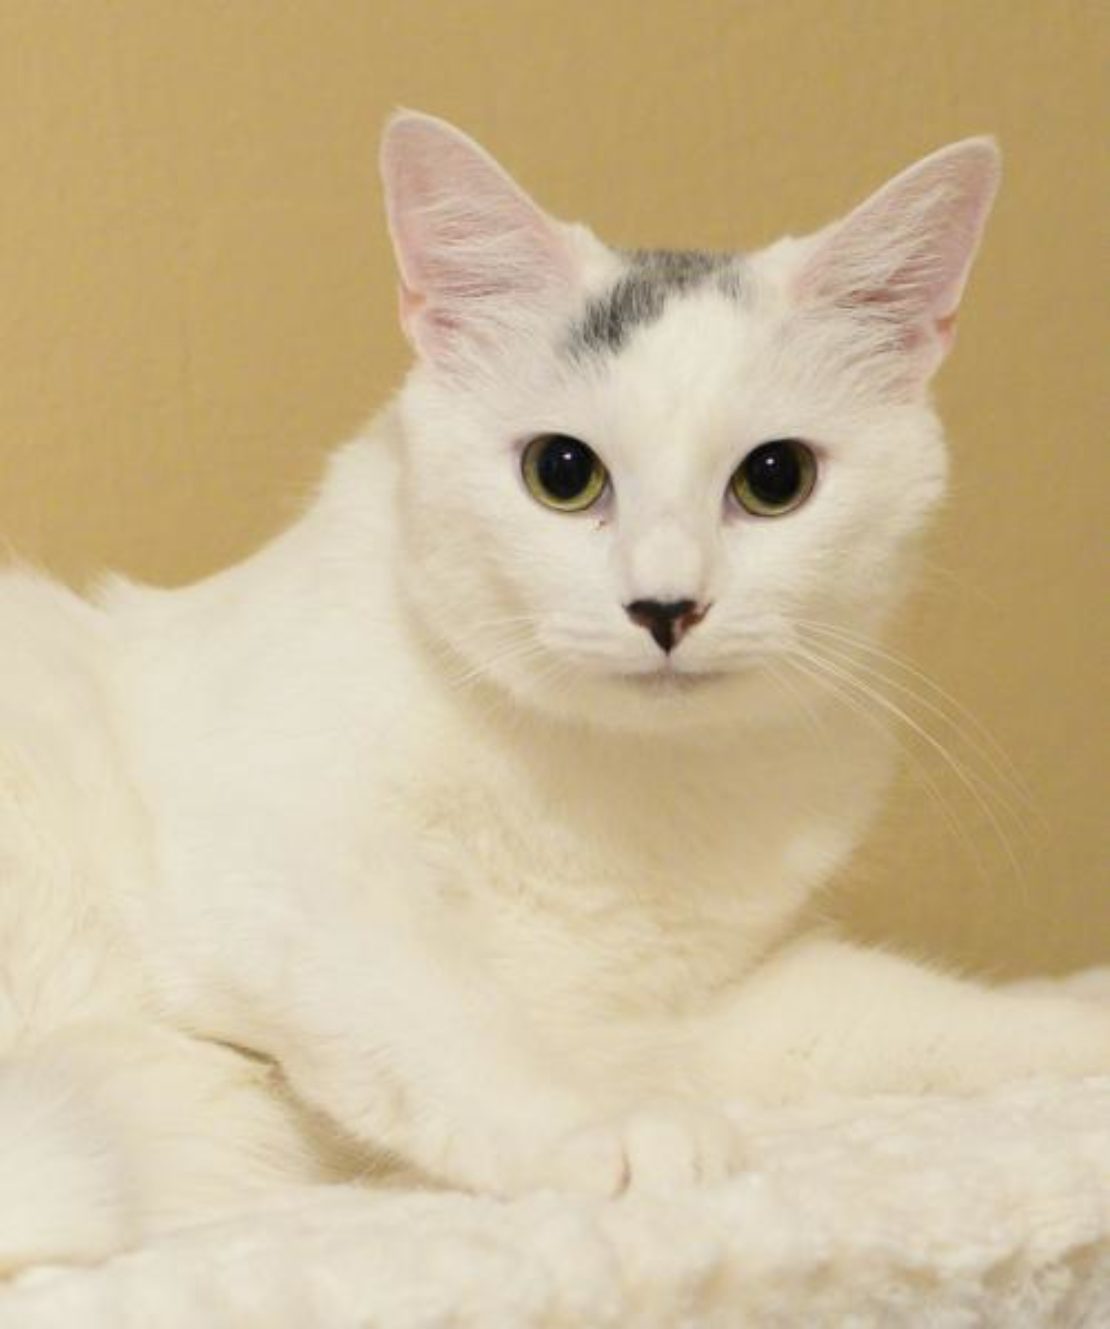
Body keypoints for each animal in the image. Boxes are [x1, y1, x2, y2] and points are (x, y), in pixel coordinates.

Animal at [2, 114, 1110, 1275]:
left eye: (776, 479)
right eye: (562, 472)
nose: (666, 604)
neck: (619, 789)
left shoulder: (692, 1011)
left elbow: (907, 1009)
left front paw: (1083, 1026)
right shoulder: (287, 864)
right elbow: (442, 1011)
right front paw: (600, 1126)